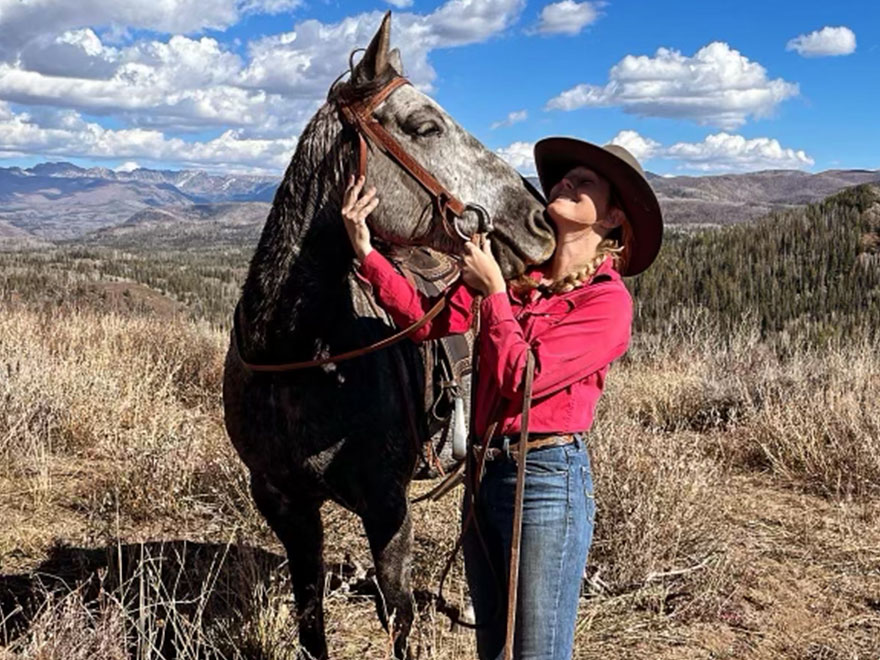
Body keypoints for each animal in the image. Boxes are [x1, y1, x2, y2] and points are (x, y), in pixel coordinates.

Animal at [222, 15, 552, 660]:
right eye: (425, 126)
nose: (541, 221)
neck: (296, 359)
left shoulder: (387, 506)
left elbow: (398, 617)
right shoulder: (283, 504)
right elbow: (309, 615)